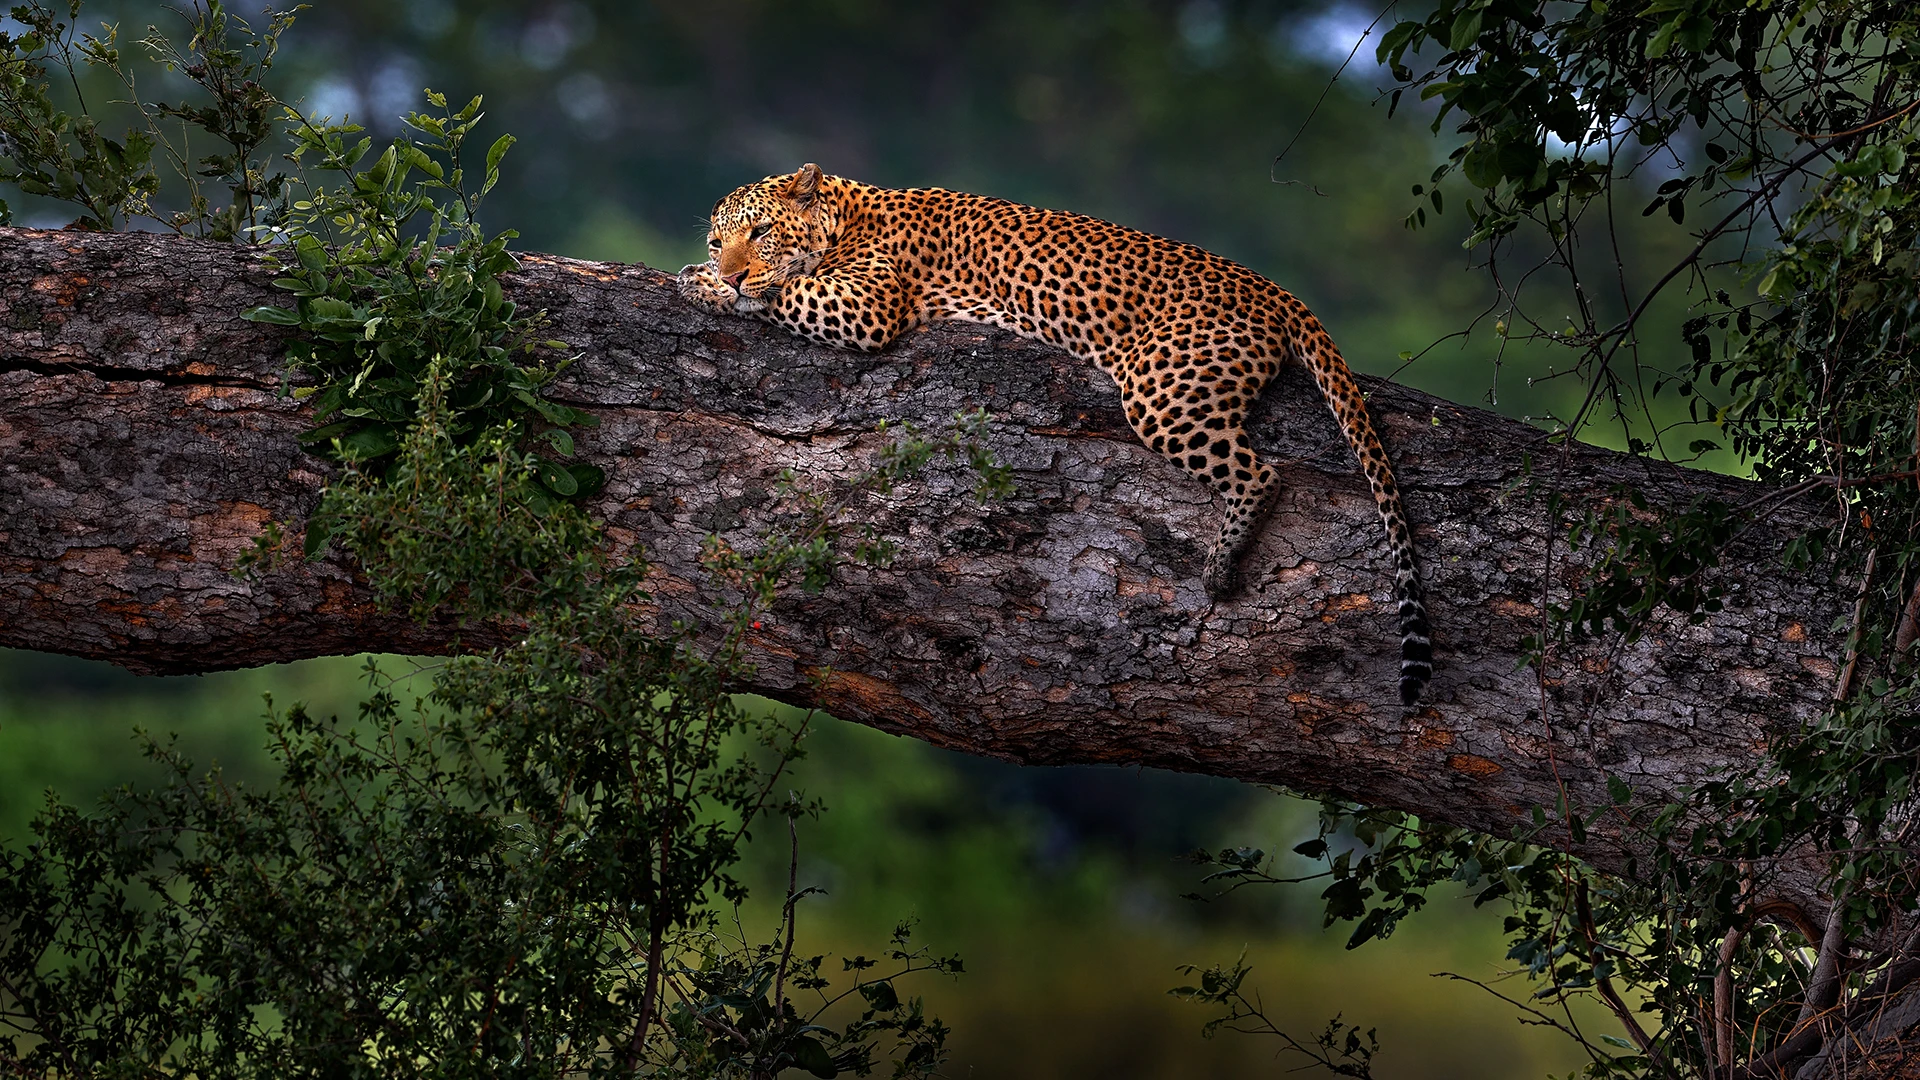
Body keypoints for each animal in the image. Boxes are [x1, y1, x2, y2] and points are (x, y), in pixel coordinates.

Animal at [677, 163, 1432, 705]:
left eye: (760, 233)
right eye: (719, 237)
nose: (728, 267)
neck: (846, 213)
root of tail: (1275, 290)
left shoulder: (863, 307)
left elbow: (779, 294)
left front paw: (704, 286)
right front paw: (707, 278)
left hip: (1159, 390)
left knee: (1262, 473)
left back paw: (1221, 564)